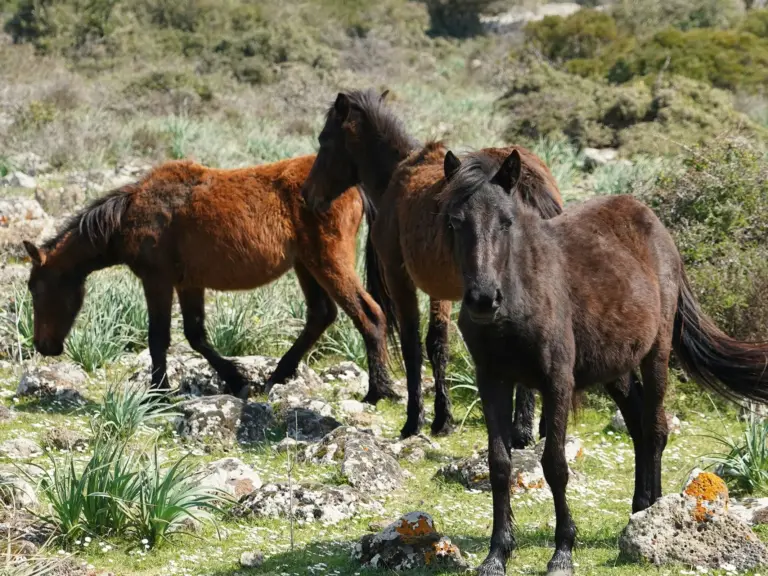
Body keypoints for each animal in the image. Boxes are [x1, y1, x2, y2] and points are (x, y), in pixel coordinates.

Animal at [23, 155, 398, 403]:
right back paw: (276, 377)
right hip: (307, 265)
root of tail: (353, 187)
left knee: (369, 315)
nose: (43, 346)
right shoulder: (188, 284)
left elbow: (158, 338)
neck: (130, 213)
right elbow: (196, 335)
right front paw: (237, 381)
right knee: (321, 315)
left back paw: (378, 391)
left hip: (328, 263)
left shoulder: (157, 281)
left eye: (35, 288)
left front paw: (158, 393)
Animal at [301, 88, 563, 441]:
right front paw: (442, 418)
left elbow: (413, 342)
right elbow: (438, 342)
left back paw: (521, 428)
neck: (397, 174)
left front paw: (416, 419)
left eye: (324, 139)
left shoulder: (401, 277)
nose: (308, 195)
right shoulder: (441, 288)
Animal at [440, 148, 768, 576]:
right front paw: (497, 553)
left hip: (656, 353)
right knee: (638, 426)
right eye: (455, 222)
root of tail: (652, 222)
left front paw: (563, 551)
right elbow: (498, 465)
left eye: (506, 222)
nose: (483, 300)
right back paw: (639, 510)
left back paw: (656, 512)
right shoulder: (492, 381)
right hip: (616, 368)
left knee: (655, 428)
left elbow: (554, 465)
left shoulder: (557, 382)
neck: (520, 295)